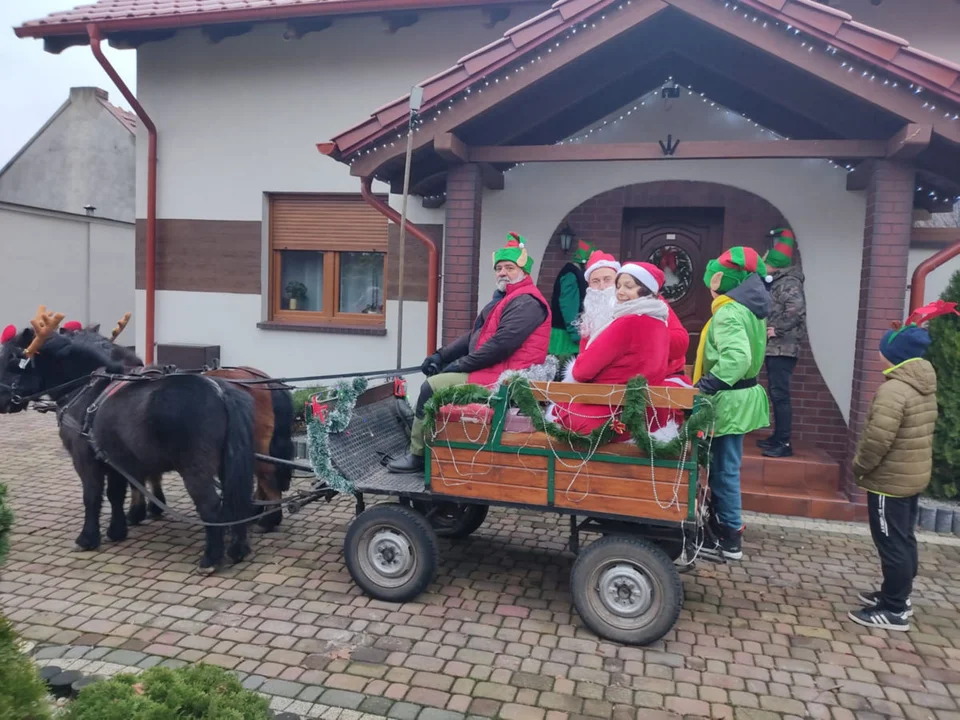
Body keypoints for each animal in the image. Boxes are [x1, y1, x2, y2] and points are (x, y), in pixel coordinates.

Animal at [0, 318, 256, 572]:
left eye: (12, 360)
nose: (2, 401)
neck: (85, 388)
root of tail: (221, 392)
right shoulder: (115, 459)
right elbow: (115, 494)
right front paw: (117, 530)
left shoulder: (84, 459)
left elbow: (92, 495)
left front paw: (87, 538)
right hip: (227, 465)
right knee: (237, 501)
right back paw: (238, 549)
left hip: (195, 469)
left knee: (211, 506)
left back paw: (211, 558)